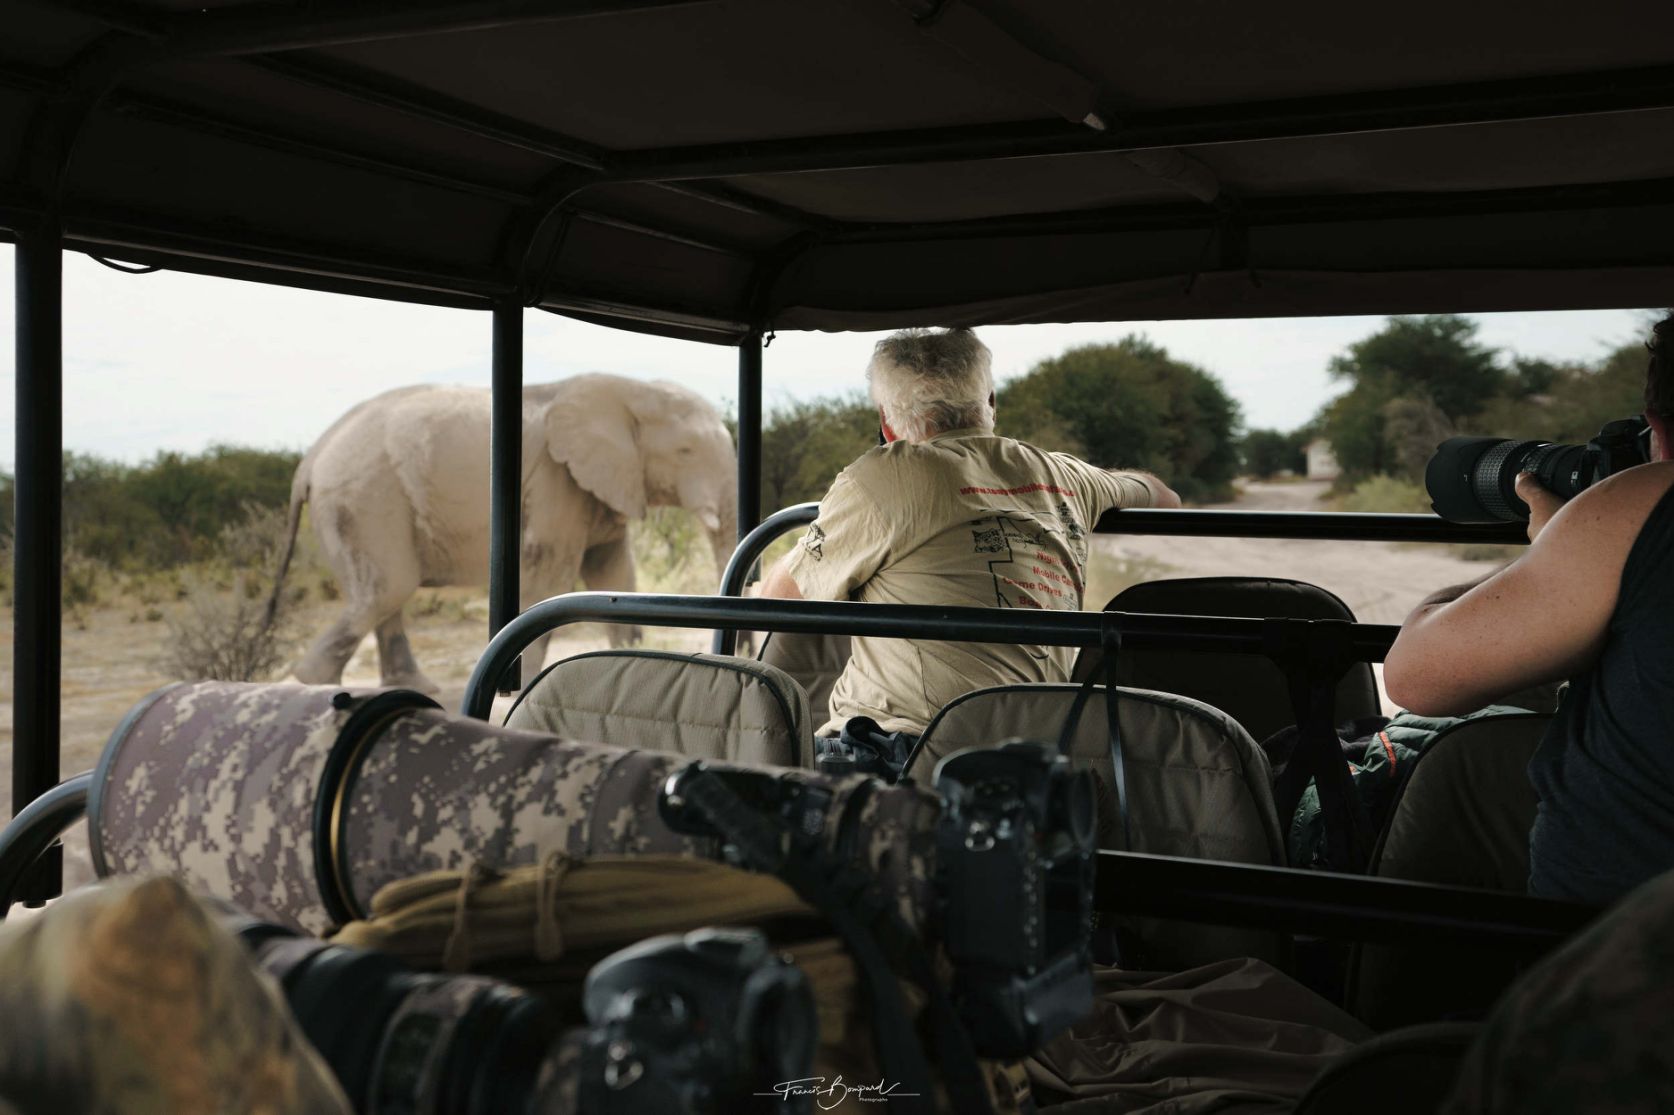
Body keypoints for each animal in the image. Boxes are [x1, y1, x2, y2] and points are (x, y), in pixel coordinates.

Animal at [267, 372, 737, 693]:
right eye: (685, 451)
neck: (630, 387)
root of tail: (310, 459)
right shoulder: (555, 479)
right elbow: (551, 575)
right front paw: (524, 682)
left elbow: (613, 573)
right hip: (364, 496)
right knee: (387, 588)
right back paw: (311, 685)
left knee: (385, 594)